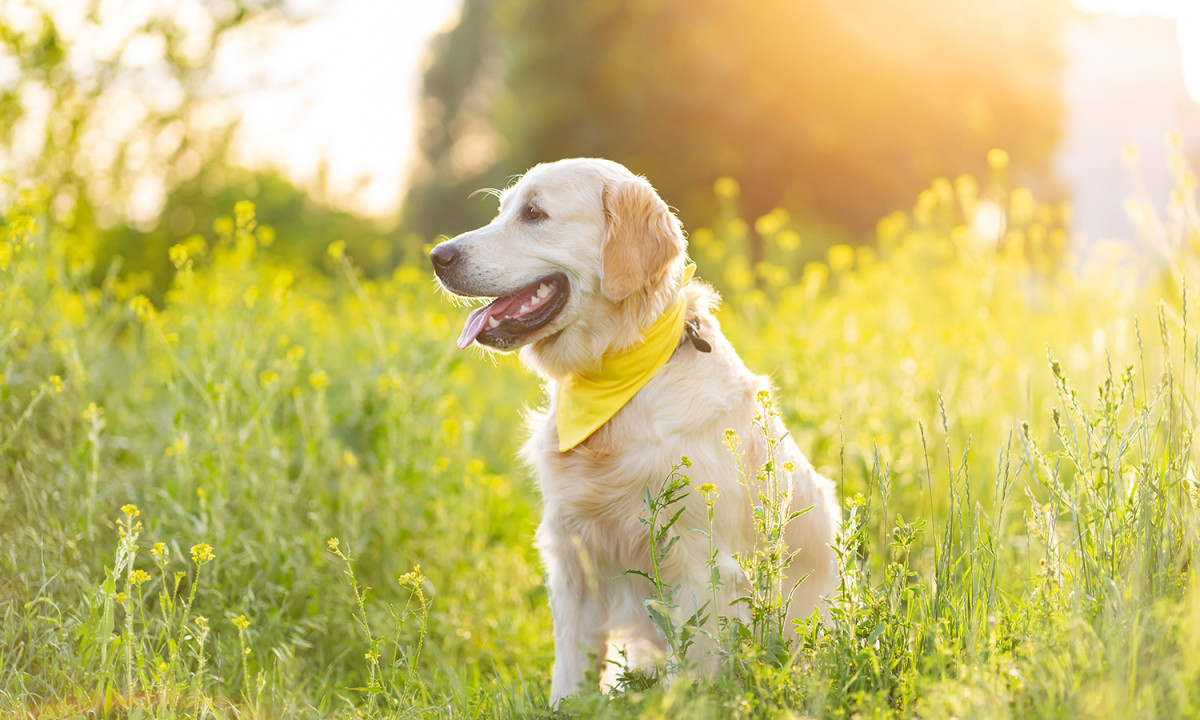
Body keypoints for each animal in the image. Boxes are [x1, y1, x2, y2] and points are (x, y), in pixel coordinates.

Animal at [429, 157, 835, 700]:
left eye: (534, 213)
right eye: (503, 210)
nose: (438, 255)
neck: (617, 377)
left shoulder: (700, 565)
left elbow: (694, 672)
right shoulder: (572, 558)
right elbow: (570, 673)